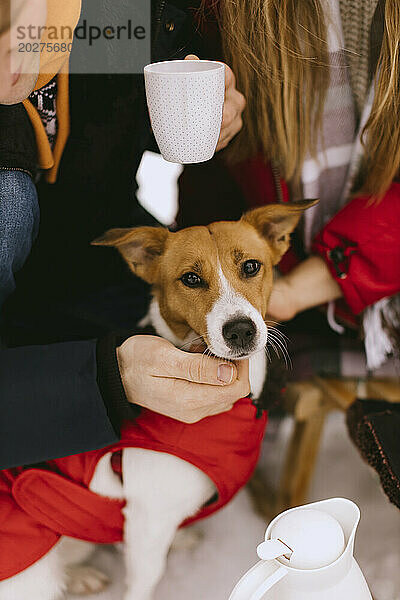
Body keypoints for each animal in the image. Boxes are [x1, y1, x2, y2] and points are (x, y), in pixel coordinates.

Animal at [0, 200, 318, 600]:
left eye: (250, 266)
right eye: (191, 279)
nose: (241, 330)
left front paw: (178, 539)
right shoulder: (147, 516)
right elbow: (147, 575)